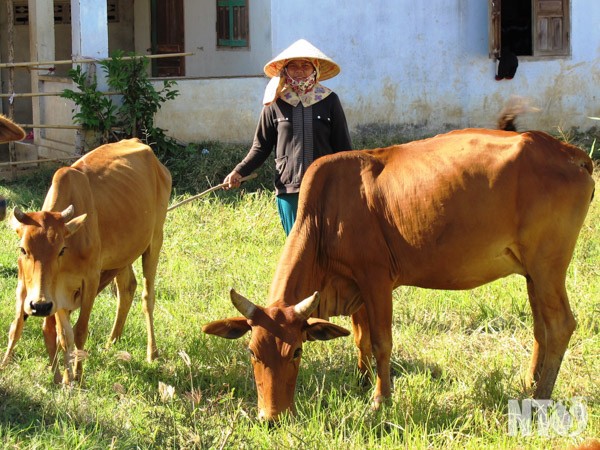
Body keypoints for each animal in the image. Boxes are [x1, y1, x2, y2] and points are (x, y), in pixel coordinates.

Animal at [1, 138, 171, 384]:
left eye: (61, 249)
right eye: (23, 249)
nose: (39, 305)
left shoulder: (90, 280)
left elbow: (80, 331)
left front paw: (78, 376)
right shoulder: (57, 293)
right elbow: (63, 335)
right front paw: (66, 378)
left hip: (155, 240)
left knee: (147, 297)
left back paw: (152, 353)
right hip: (122, 256)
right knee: (127, 288)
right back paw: (111, 343)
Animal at [205, 127, 596, 422]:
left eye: (297, 352)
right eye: (252, 352)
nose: (271, 417)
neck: (323, 216)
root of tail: (570, 153)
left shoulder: (376, 279)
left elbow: (381, 342)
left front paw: (380, 399)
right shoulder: (355, 287)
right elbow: (360, 338)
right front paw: (361, 382)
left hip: (548, 264)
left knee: (560, 325)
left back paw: (541, 397)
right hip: (532, 272)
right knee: (541, 327)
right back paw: (530, 383)